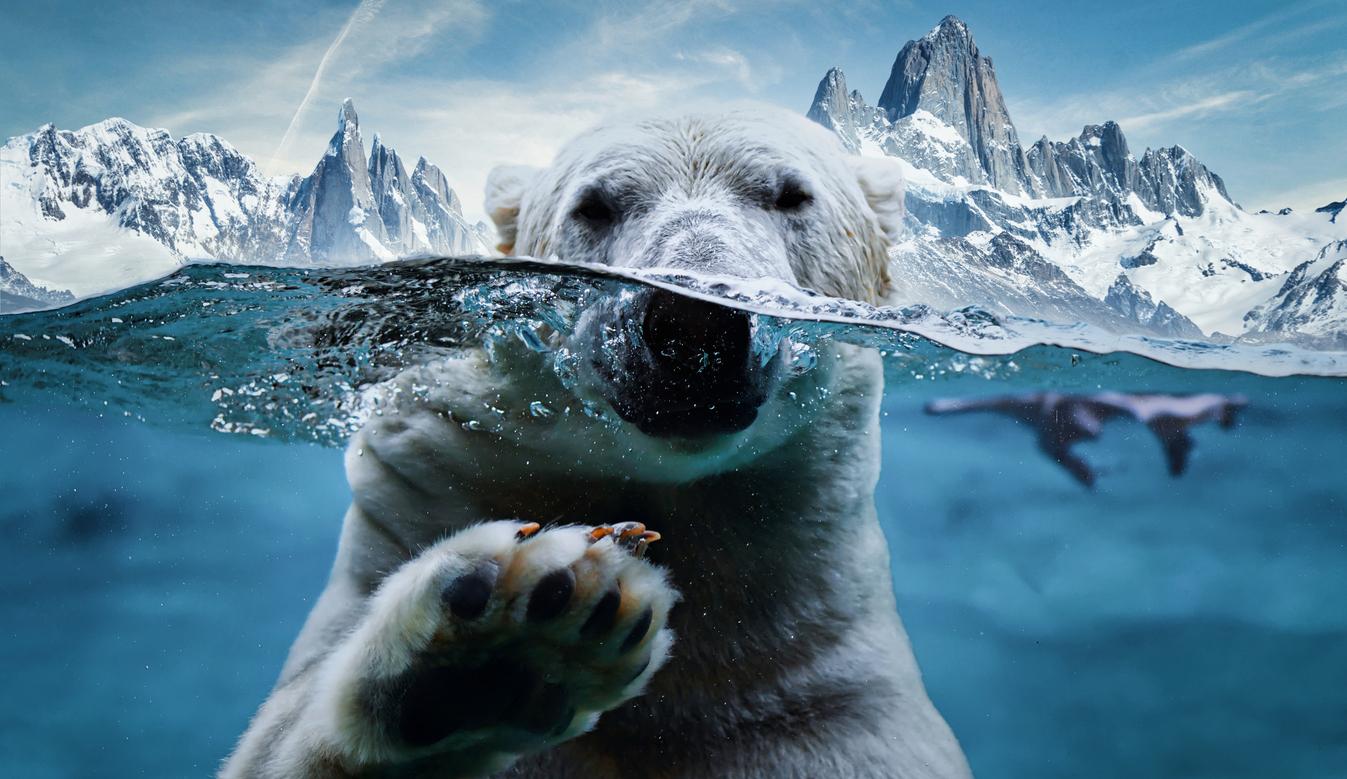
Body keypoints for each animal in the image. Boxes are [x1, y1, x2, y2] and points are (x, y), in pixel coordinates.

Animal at [226, 110, 975, 776]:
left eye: (792, 194)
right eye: (594, 206)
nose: (694, 321)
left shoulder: (829, 699)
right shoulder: (425, 491)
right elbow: (276, 740)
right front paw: (505, 645)